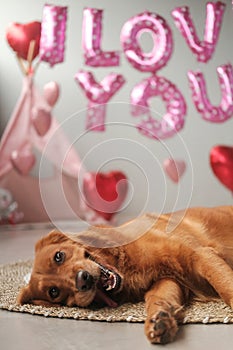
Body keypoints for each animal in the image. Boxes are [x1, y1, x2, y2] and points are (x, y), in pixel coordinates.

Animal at [17, 205, 233, 344]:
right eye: (54, 292)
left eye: (59, 256)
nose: (82, 281)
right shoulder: (170, 279)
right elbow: (156, 297)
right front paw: (160, 319)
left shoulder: (199, 255)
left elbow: (225, 284)